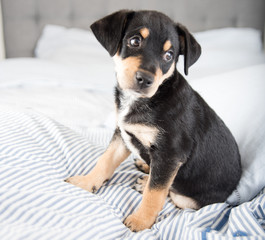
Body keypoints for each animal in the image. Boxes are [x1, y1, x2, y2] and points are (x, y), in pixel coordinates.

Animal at [66, 10, 241, 232]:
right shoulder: (123, 135)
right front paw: (86, 183)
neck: (144, 100)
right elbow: (104, 161)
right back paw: (145, 168)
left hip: (187, 197)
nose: (145, 79)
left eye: (169, 56)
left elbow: (155, 193)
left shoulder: (169, 154)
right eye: (134, 41)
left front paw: (140, 221)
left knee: (170, 192)